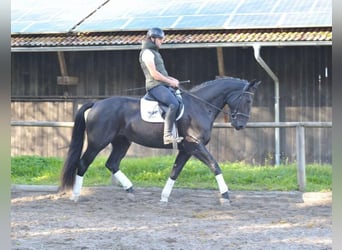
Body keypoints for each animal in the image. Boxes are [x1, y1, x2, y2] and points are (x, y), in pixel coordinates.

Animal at [60, 77, 260, 204]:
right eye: (248, 100)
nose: (240, 125)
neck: (200, 106)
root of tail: (97, 103)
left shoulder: (186, 150)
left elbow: (175, 171)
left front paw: (164, 197)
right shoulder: (194, 145)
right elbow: (214, 165)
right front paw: (225, 195)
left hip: (122, 142)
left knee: (112, 163)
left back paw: (130, 191)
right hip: (97, 143)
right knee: (83, 163)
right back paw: (75, 196)